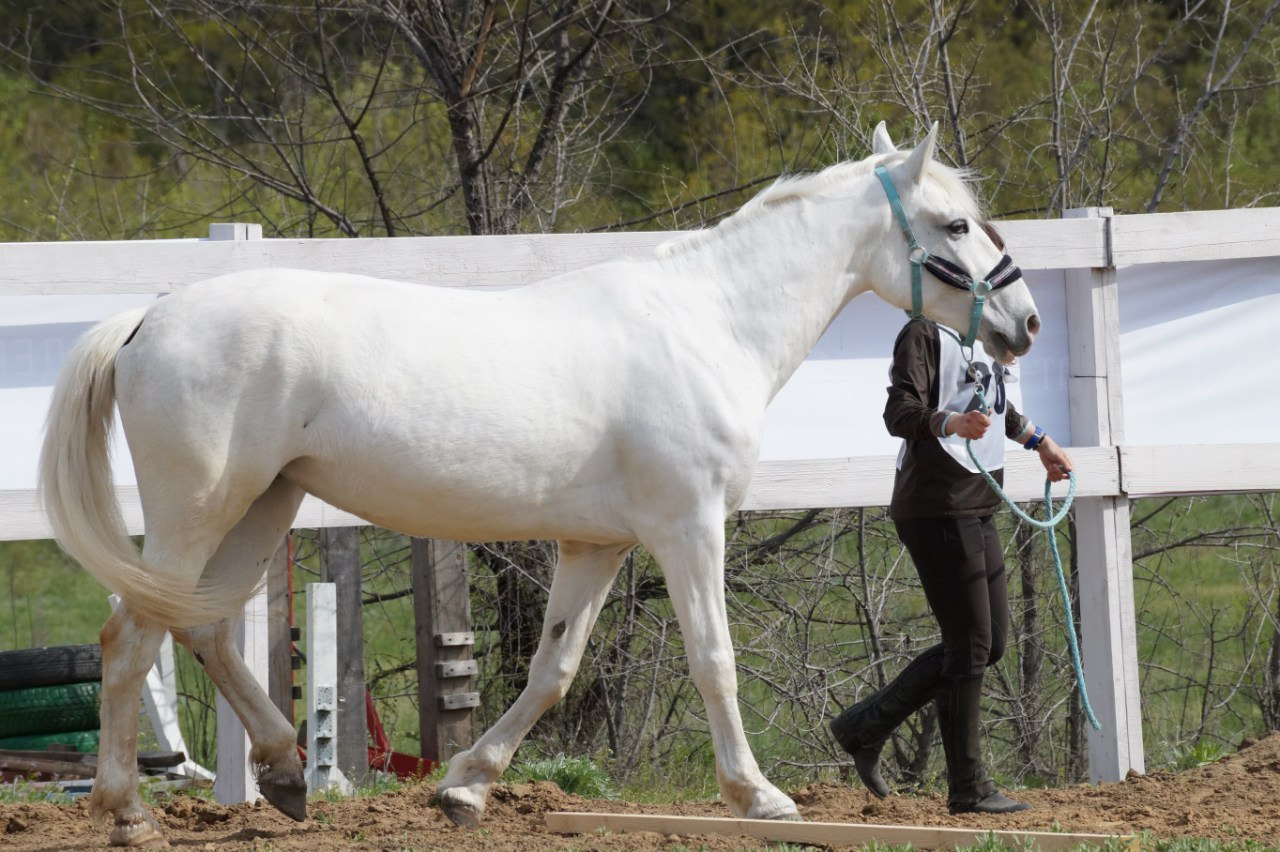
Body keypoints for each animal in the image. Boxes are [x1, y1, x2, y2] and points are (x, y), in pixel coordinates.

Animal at [42, 122, 1039, 844]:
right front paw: (759, 797)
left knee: (202, 627)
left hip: (264, 503)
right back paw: (128, 813)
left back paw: (287, 772)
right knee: (130, 638)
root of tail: (145, 319)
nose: (1024, 322)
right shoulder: (688, 528)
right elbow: (713, 660)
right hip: (201, 508)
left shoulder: (596, 544)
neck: (709, 323)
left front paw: (467, 789)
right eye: (954, 224)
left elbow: (554, 668)